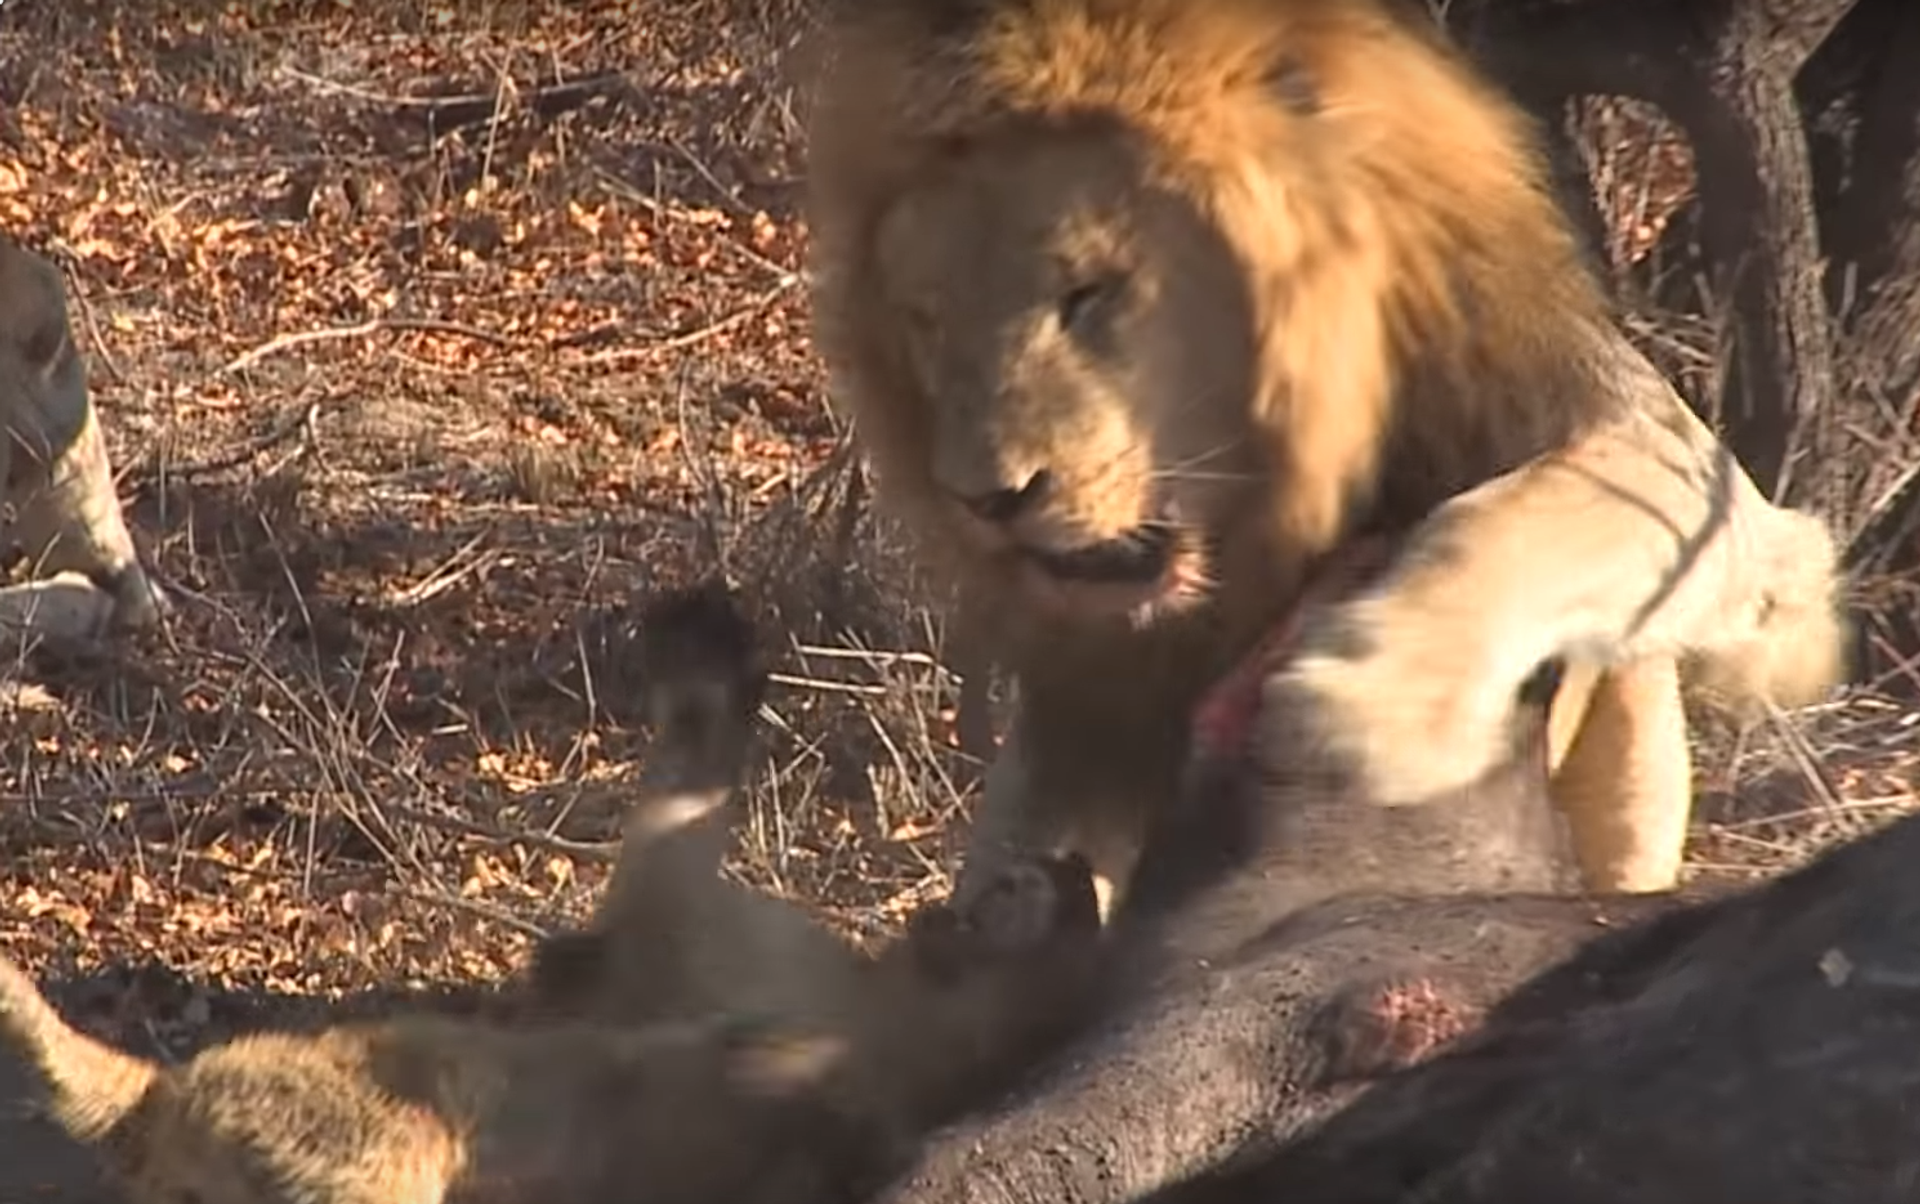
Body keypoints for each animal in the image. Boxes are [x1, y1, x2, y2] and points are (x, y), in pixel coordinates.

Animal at [803, 0, 1846, 909]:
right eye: (928, 323)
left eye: (1089, 293)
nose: (985, 498)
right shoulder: (1091, 708)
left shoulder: (1665, 455)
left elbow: (1511, 519)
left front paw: (1365, 704)